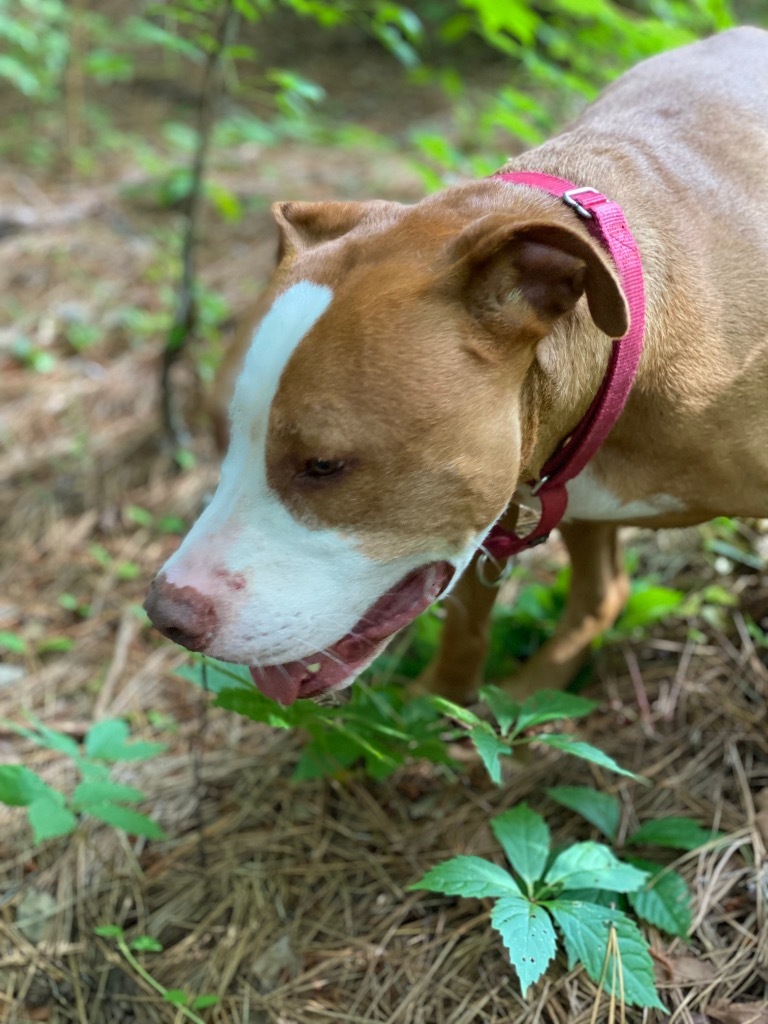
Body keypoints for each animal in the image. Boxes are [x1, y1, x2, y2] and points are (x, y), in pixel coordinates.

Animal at [145, 28, 768, 708]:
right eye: (218, 438)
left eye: (324, 465)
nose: (165, 616)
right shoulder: (492, 507)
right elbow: (465, 620)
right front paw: (437, 702)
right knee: (601, 594)